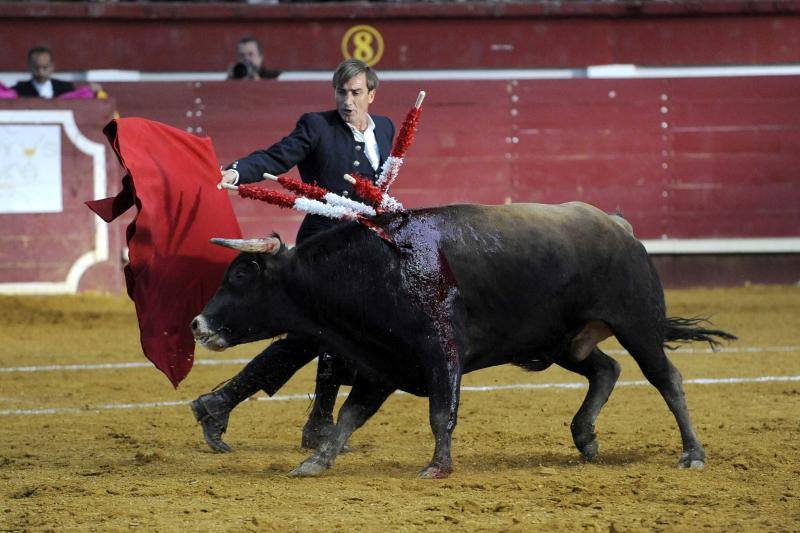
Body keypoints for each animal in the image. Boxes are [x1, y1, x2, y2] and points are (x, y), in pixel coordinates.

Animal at [191, 203, 736, 478]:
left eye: (240, 275)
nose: (198, 325)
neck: (375, 269)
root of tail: (620, 228)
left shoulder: (441, 352)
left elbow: (440, 412)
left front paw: (438, 466)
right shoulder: (382, 362)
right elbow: (348, 415)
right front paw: (315, 462)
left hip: (637, 324)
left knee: (666, 379)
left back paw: (692, 453)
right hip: (561, 342)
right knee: (606, 368)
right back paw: (585, 437)